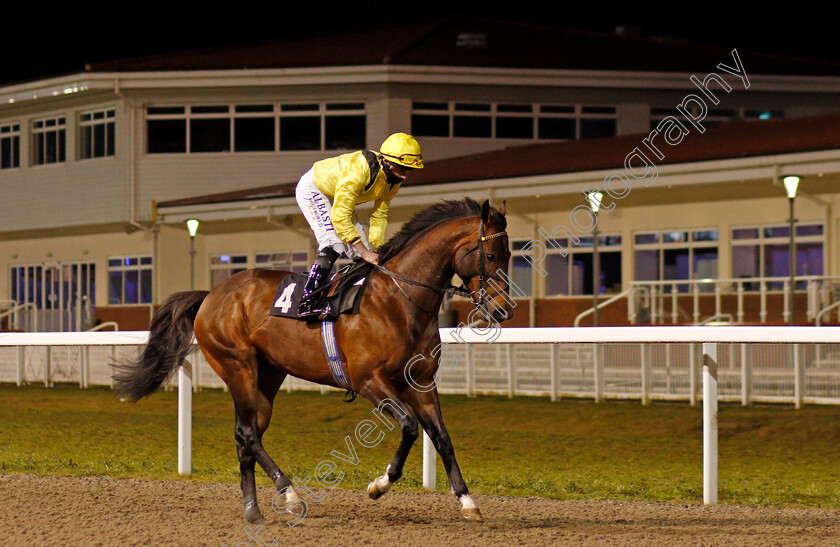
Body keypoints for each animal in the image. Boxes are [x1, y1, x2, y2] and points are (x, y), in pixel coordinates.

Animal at [111, 199, 512, 524]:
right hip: (237, 365)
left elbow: (442, 437)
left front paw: (467, 501)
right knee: (247, 433)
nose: (502, 310)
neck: (399, 301)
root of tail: (211, 294)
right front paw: (378, 485)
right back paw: (288, 493)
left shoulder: (422, 383)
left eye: (511, 256)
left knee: (247, 434)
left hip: (266, 377)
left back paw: (253, 510)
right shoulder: (369, 380)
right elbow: (411, 428)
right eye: (492, 256)